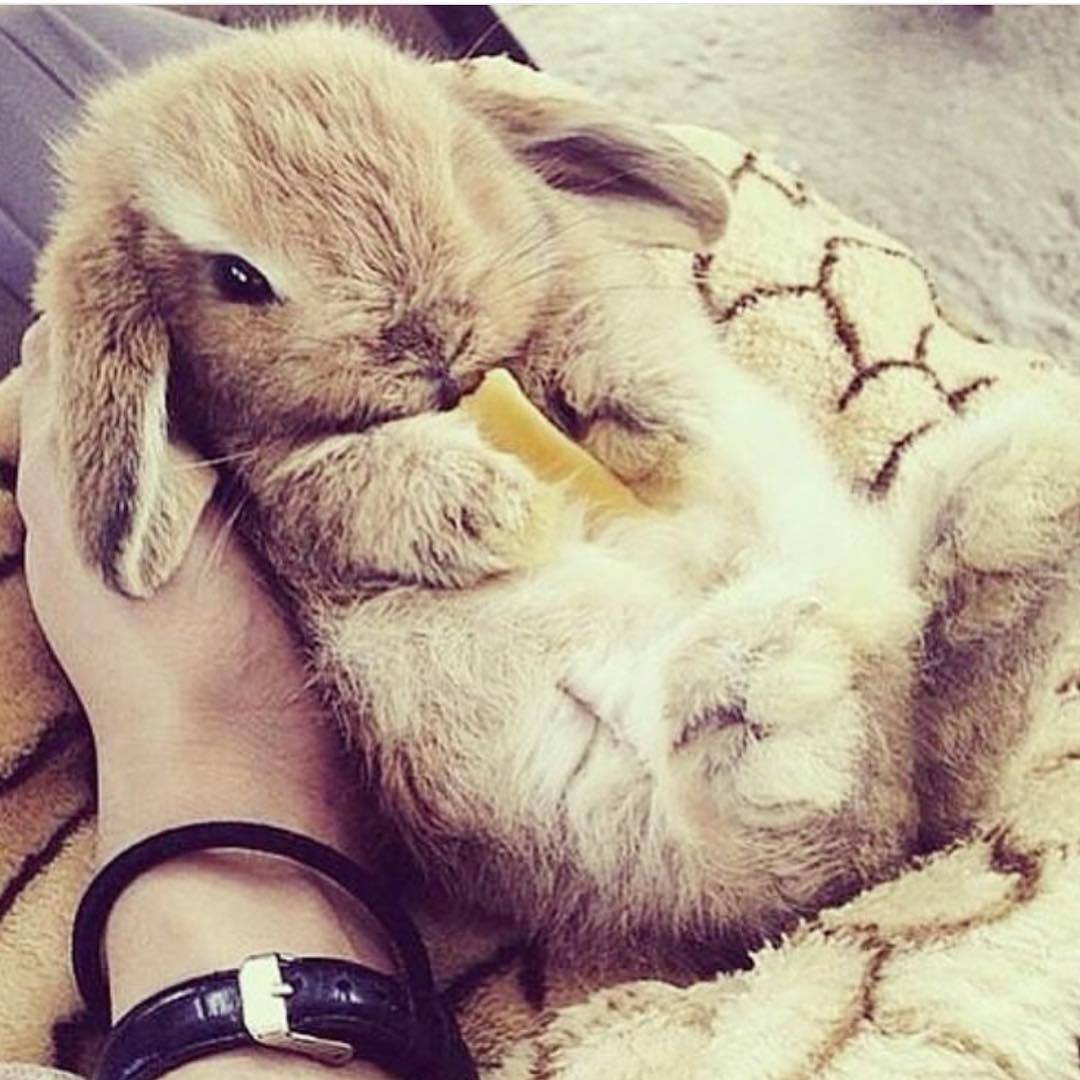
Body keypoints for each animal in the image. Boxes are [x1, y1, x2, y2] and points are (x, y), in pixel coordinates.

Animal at [34, 21, 1080, 954]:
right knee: (822, 797)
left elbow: (605, 339)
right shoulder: (285, 483)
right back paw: (768, 671)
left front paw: (648, 430)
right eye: (238, 277)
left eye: (459, 166)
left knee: (931, 725)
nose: (436, 342)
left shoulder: (586, 288)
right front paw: (500, 508)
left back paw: (1017, 499)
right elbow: (356, 481)